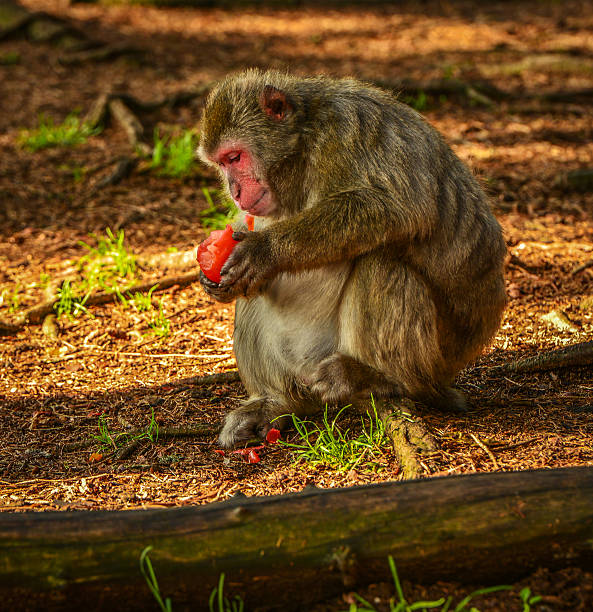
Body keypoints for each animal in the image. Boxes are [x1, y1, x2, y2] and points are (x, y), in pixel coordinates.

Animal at [195, 68, 504, 450]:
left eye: (235, 157)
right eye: (221, 163)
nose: (235, 191)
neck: (304, 141)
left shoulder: (346, 131)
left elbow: (398, 206)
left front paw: (264, 250)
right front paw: (215, 274)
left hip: (435, 363)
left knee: (382, 263)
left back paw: (379, 378)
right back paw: (277, 402)